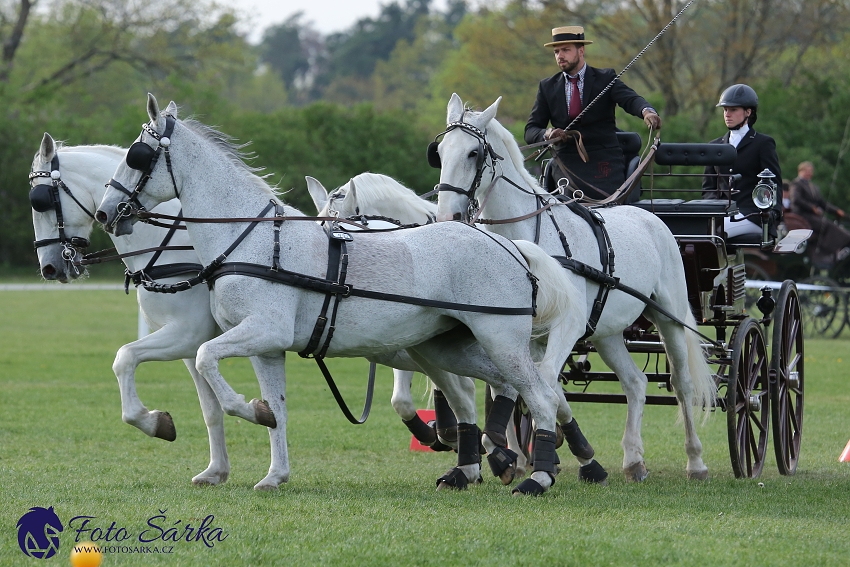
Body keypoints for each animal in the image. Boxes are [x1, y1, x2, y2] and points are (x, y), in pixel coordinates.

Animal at [28, 135, 232, 486]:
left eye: (39, 201)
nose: (50, 268)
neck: (171, 246)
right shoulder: (193, 345)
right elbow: (211, 408)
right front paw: (215, 471)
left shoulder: (186, 332)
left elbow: (124, 358)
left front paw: (153, 421)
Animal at [93, 95, 584, 494]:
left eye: (137, 155)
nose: (105, 212)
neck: (250, 238)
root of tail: (507, 244)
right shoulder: (265, 347)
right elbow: (277, 407)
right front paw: (274, 471)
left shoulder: (262, 330)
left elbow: (204, 359)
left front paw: (248, 410)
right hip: (447, 347)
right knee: (508, 390)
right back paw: (485, 466)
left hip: (500, 340)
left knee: (539, 394)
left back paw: (538, 476)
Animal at [430, 94, 716, 484]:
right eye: (440, 152)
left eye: (474, 152)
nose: (447, 218)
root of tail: (651, 217)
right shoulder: (524, 332)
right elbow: (521, 383)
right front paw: (516, 453)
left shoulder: (567, 326)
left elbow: (543, 381)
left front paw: (550, 449)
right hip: (606, 331)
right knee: (635, 383)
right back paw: (633, 459)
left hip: (668, 318)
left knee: (682, 383)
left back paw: (696, 460)